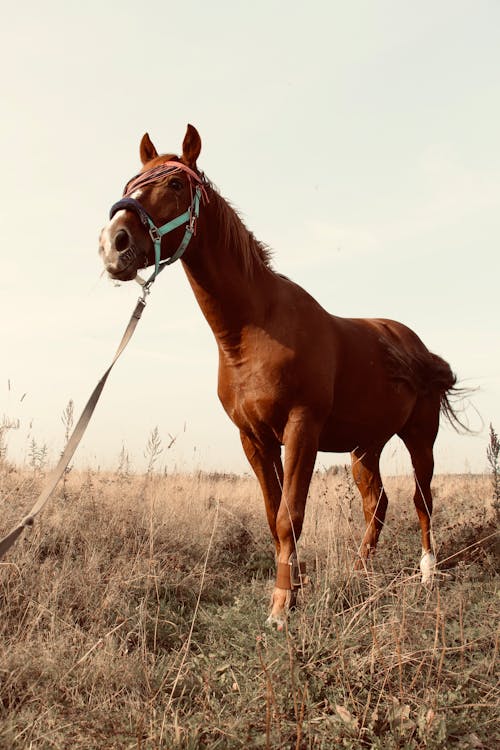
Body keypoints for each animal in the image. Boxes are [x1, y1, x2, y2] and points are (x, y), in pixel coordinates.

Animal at [99, 125, 462, 628]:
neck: (253, 330)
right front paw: (293, 592)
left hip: (419, 436)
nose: (113, 242)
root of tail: (415, 345)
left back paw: (427, 573)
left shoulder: (301, 429)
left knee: (421, 499)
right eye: (131, 181)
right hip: (364, 448)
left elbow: (291, 515)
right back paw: (359, 574)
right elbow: (274, 518)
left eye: (174, 184)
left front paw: (281, 610)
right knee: (378, 503)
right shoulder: (254, 439)